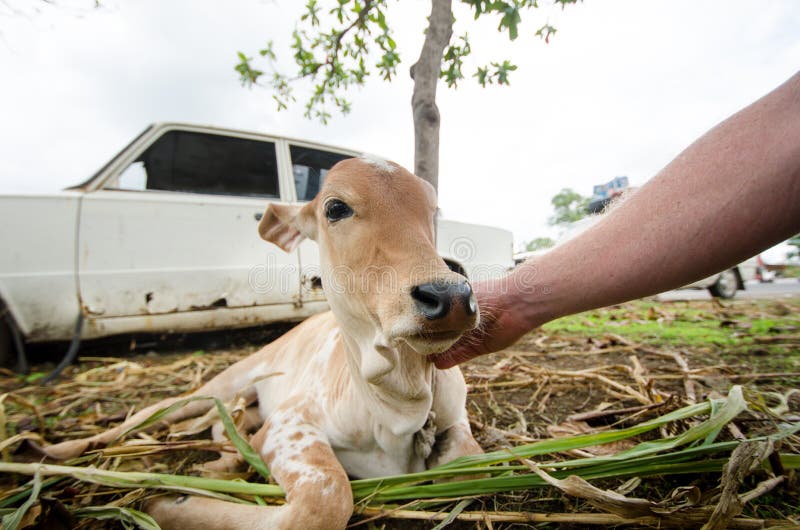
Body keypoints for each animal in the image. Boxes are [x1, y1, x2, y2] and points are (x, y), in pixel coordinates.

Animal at [45, 158, 482, 528]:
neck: (398, 405)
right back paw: (55, 452)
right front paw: (166, 502)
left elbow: (471, 460)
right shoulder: (288, 424)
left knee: (223, 426)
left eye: (431, 210)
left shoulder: (456, 419)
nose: (450, 296)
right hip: (223, 383)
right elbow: (323, 503)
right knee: (155, 412)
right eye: (336, 208)